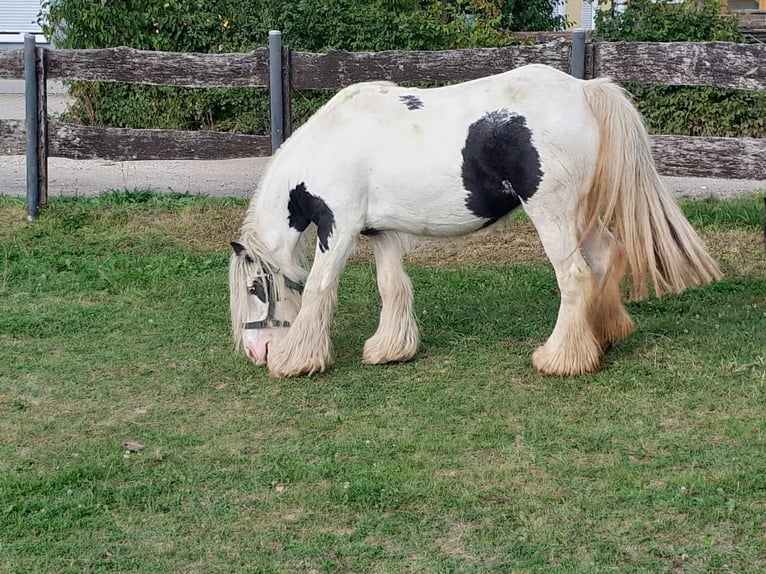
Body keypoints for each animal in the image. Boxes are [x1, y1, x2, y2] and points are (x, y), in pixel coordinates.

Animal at [230, 63, 728, 380]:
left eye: (256, 289)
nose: (255, 353)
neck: (329, 146)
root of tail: (585, 90)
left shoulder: (340, 230)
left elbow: (318, 289)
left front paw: (296, 361)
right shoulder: (382, 232)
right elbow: (392, 287)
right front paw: (390, 350)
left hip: (552, 213)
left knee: (574, 276)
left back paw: (560, 359)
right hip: (580, 216)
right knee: (605, 258)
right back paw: (599, 339)